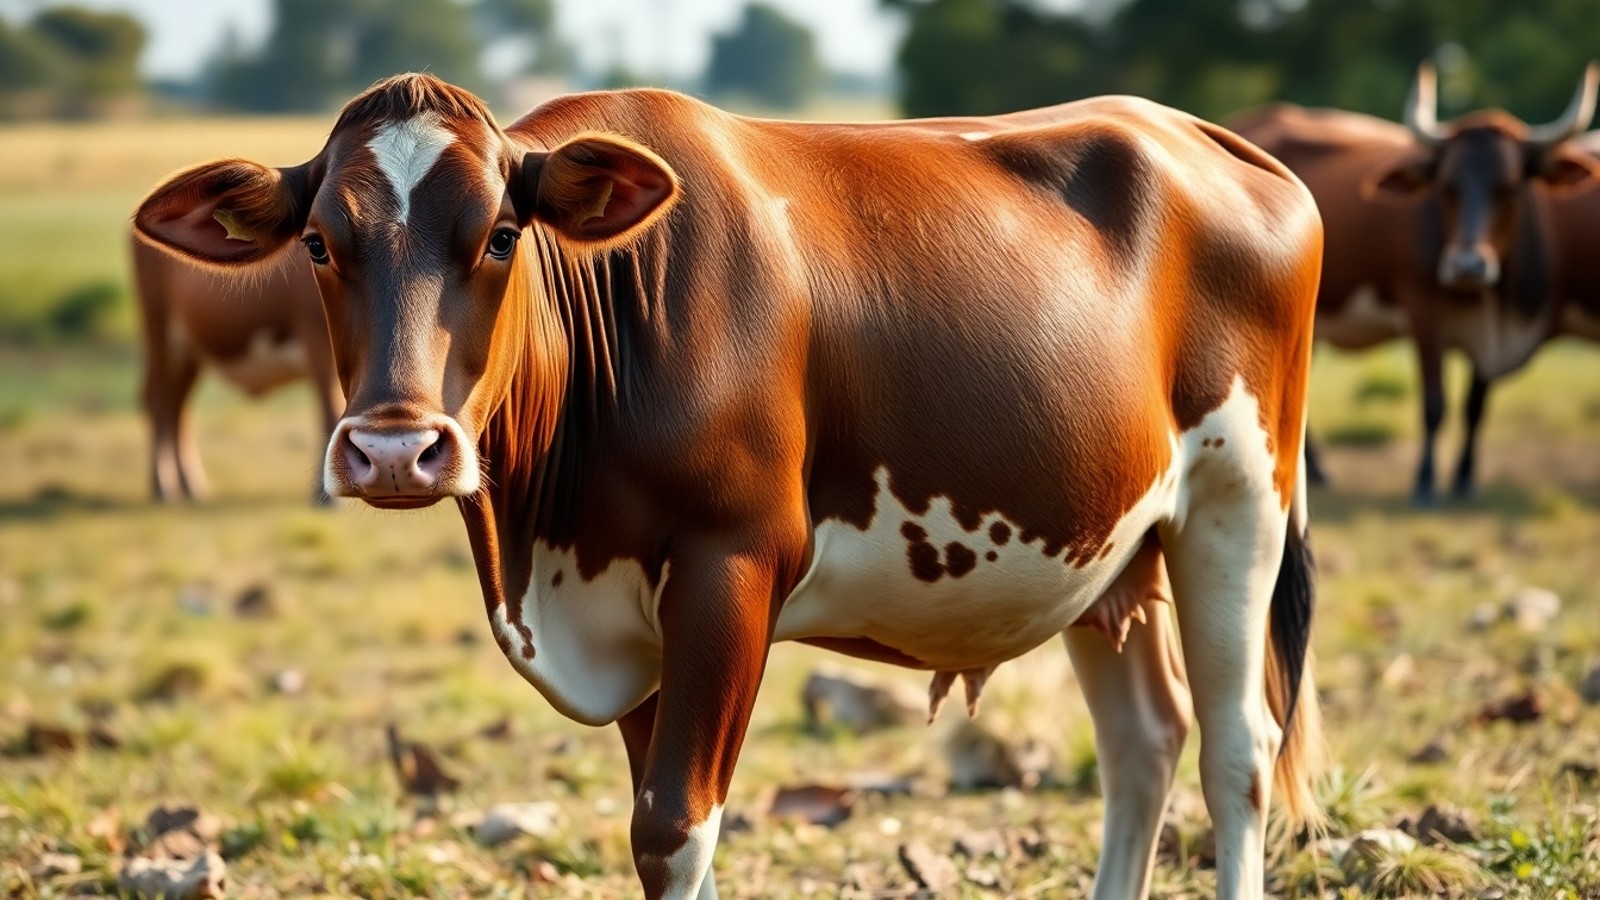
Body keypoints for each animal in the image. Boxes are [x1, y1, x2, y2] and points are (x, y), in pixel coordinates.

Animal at [133, 235, 342, 502]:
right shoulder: (316, 339)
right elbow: (330, 413)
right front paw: (325, 498)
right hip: (157, 325)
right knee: (159, 400)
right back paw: (163, 486)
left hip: (190, 346)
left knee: (177, 405)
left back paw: (190, 485)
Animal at [1232, 64, 1599, 503]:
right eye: (1447, 187)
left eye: (1510, 188)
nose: (1468, 265)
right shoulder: (1424, 314)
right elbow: (1434, 405)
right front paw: (1425, 482)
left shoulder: (1489, 331)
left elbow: (1475, 406)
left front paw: (1464, 479)